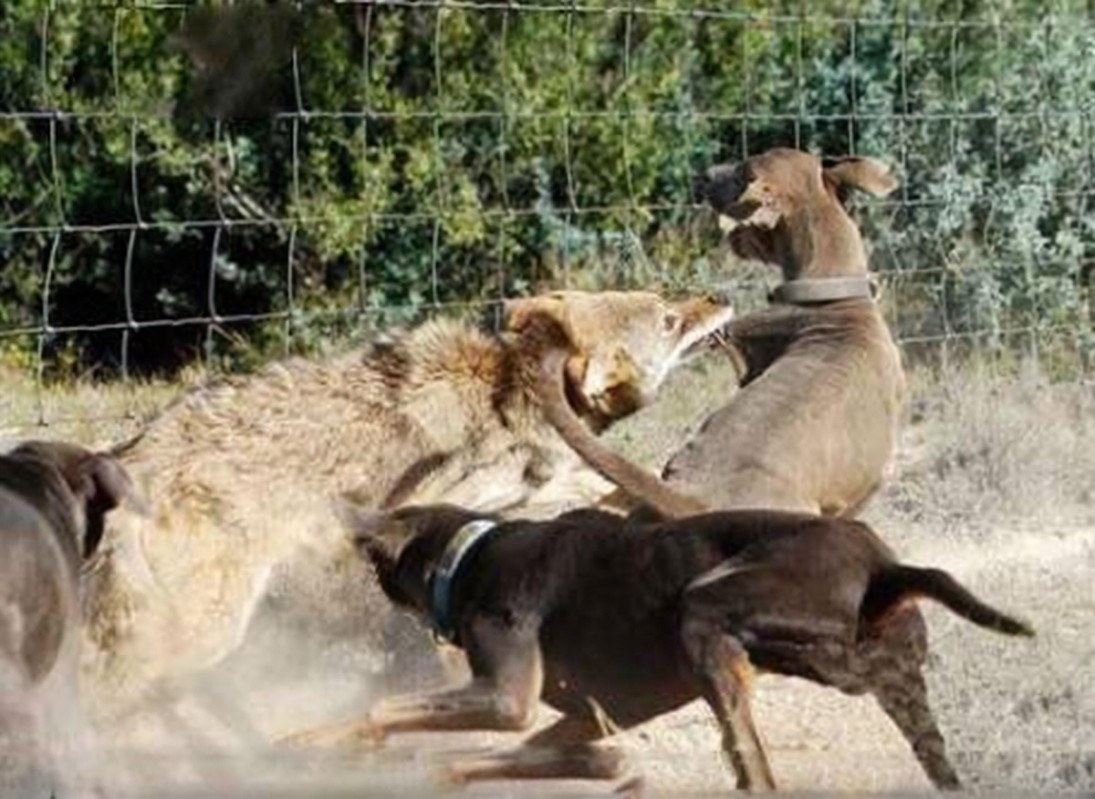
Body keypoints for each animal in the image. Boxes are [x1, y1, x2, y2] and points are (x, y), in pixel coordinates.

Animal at [284, 501, 1033, 788]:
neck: (465, 556)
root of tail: (883, 566)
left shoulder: (505, 697)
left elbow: (381, 709)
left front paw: (329, 746)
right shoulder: (589, 717)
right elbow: (537, 756)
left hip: (708, 612)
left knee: (759, 769)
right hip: (901, 691)